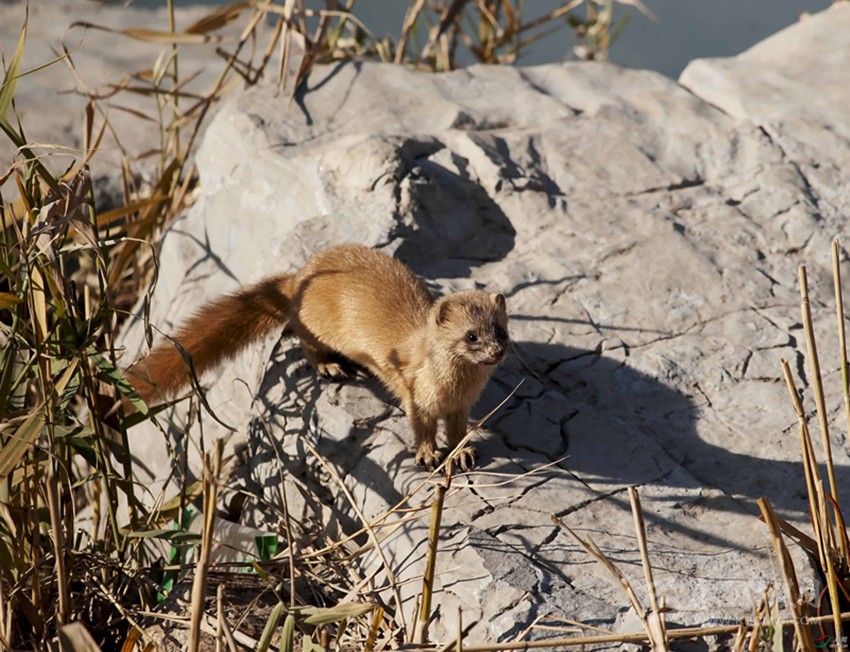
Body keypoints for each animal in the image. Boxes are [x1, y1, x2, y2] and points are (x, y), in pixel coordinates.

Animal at [126, 244, 510, 470]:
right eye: (471, 335)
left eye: (501, 330)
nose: (496, 351)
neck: (453, 389)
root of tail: (300, 277)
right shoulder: (417, 396)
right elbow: (421, 427)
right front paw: (429, 455)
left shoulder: (461, 406)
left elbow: (458, 429)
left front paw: (463, 452)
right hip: (315, 327)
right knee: (306, 343)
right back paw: (331, 366)